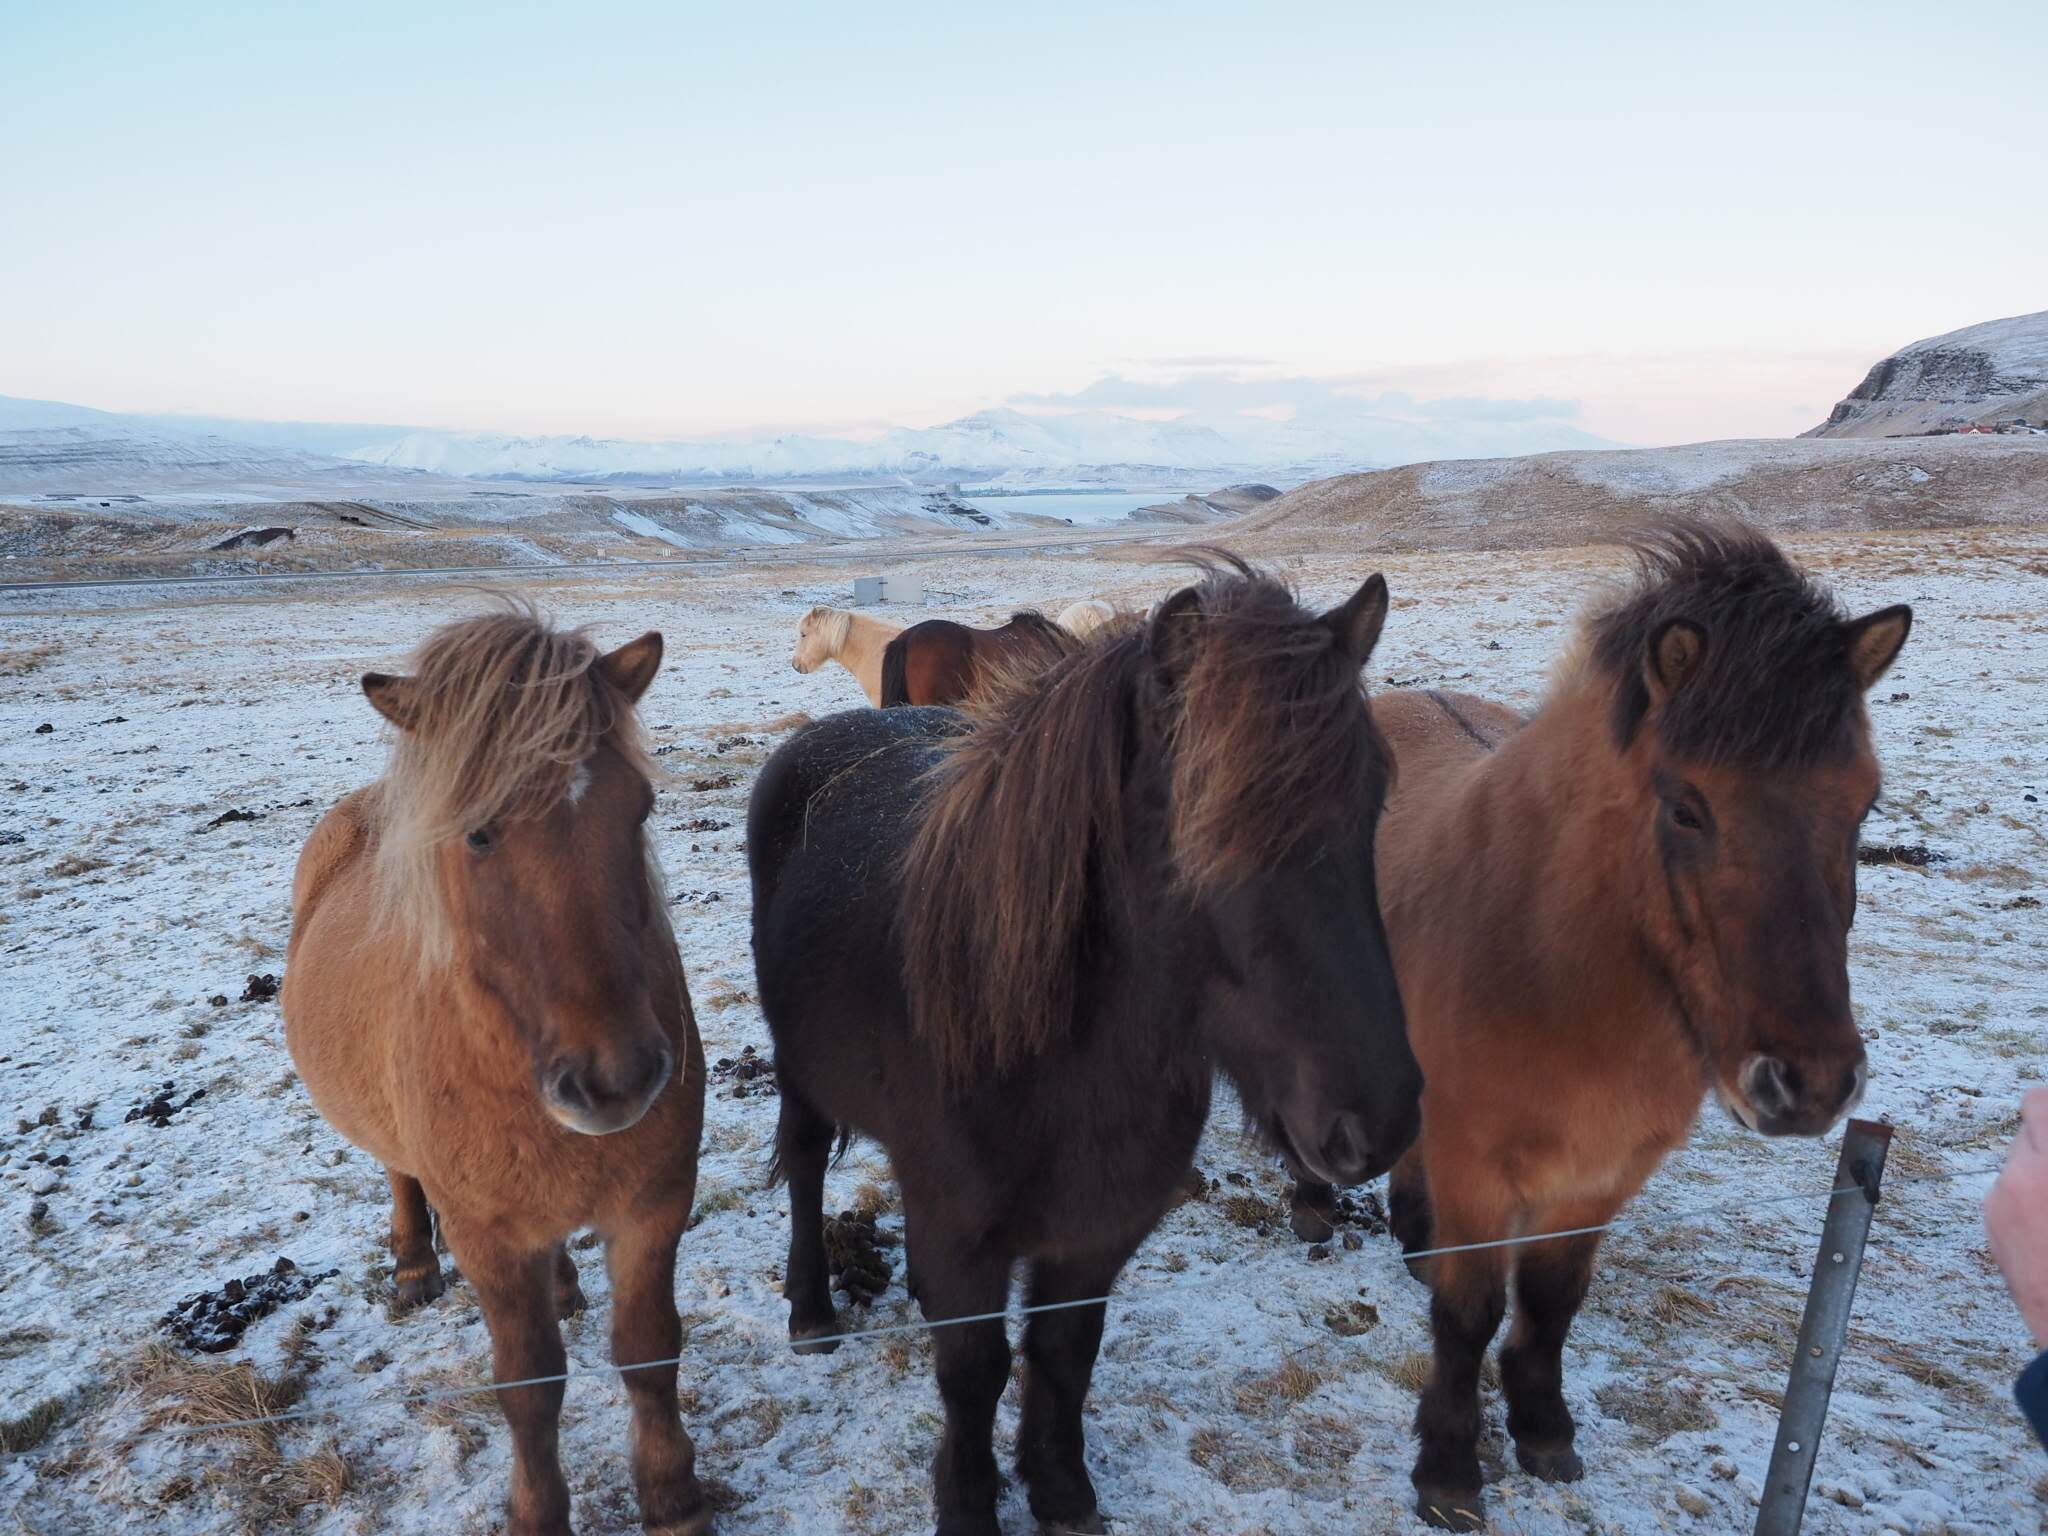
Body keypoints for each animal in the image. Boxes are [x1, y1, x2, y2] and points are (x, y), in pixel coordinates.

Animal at [281, 607, 710, 1536]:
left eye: (640, 809)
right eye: (477, 832)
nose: (618, 1080)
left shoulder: (653, 1206)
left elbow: (651, 1353)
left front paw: (672, 1497)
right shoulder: (485, 1238)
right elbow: (529, 1388)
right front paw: (539, 1513)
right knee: (398, 1171)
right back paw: (413, 1266)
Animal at [1284, 522, 1911, 1531]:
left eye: (1864, 806)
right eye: (1687, 807)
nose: (1811, 1084)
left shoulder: (1603, 1176)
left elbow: (1550, 1303)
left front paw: (1543, 1430)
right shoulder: (1483, 1169)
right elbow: (1469, 1316)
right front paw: (1449, 1470)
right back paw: (1312, 1205)